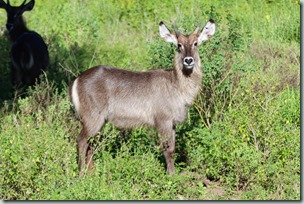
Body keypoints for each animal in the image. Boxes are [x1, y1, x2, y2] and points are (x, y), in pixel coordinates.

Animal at [69, 19, 216, 175]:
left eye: (195, 43)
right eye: (179, 45)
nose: (188, 60)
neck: (176, 85)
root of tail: (78, 79)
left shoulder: (173, 123)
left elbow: (172, 148)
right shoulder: (163, 121)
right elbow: (168, 149)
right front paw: (171, 175)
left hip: (100, 122)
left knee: (91, 145)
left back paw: (92, 173)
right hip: (92, 118)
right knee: (81, 141)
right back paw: (82, 173)